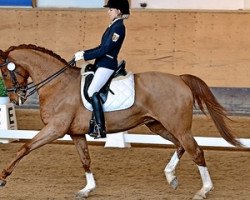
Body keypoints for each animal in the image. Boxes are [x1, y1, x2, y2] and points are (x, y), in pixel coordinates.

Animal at [0, 44, 241, 199]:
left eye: (3, 72)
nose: (15, 98)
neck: (58, 84)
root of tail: (180, 79)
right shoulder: (75, 132)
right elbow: (85, 159)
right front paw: (87, 189)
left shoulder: (55, 129)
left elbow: (25, 147)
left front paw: (3, 177)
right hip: (157, 124)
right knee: (181, 146)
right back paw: (171, 177)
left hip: (178, 126)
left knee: (196, 151)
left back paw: (203, 190)